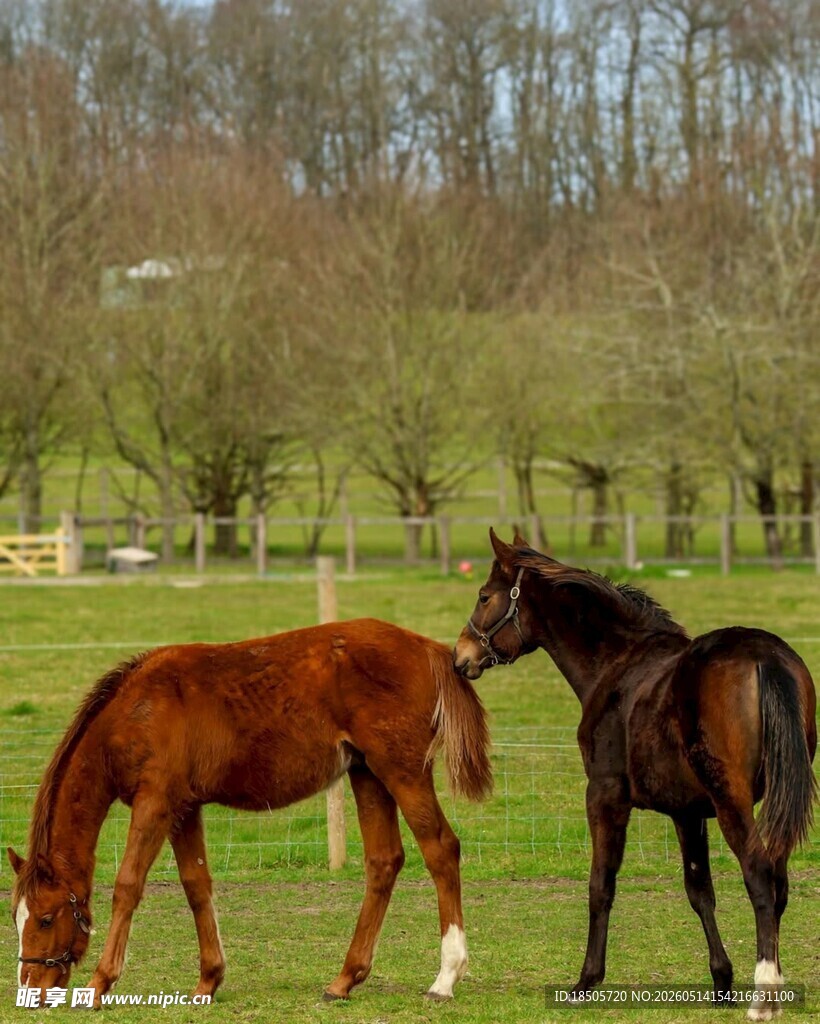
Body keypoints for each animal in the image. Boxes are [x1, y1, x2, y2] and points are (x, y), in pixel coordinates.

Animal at [9, 618, 492, 1006]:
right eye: (17, 917)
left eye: (47, 918)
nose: (30, 987)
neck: (135, 711)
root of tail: (429, 649)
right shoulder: (184, 808)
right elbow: (196, 885)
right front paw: (208, 980)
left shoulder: (155, 802)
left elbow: (128, 884)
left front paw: (100, 983)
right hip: (367, 773)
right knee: (384, 861)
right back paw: (344, 979)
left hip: (402, 771)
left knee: (440, 849)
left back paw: (445, 979)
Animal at [453, 530, 817, 1021]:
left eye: (484, 596)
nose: (460, 656)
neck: (616, 665)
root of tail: (764, 657)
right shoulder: (688, 813)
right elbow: (699, 890)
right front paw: (721, 980)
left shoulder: (605, 796)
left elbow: (600, 885)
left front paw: (586, 981)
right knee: (778, 883)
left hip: (733, 803)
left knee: (760, 877)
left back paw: (765, 995)